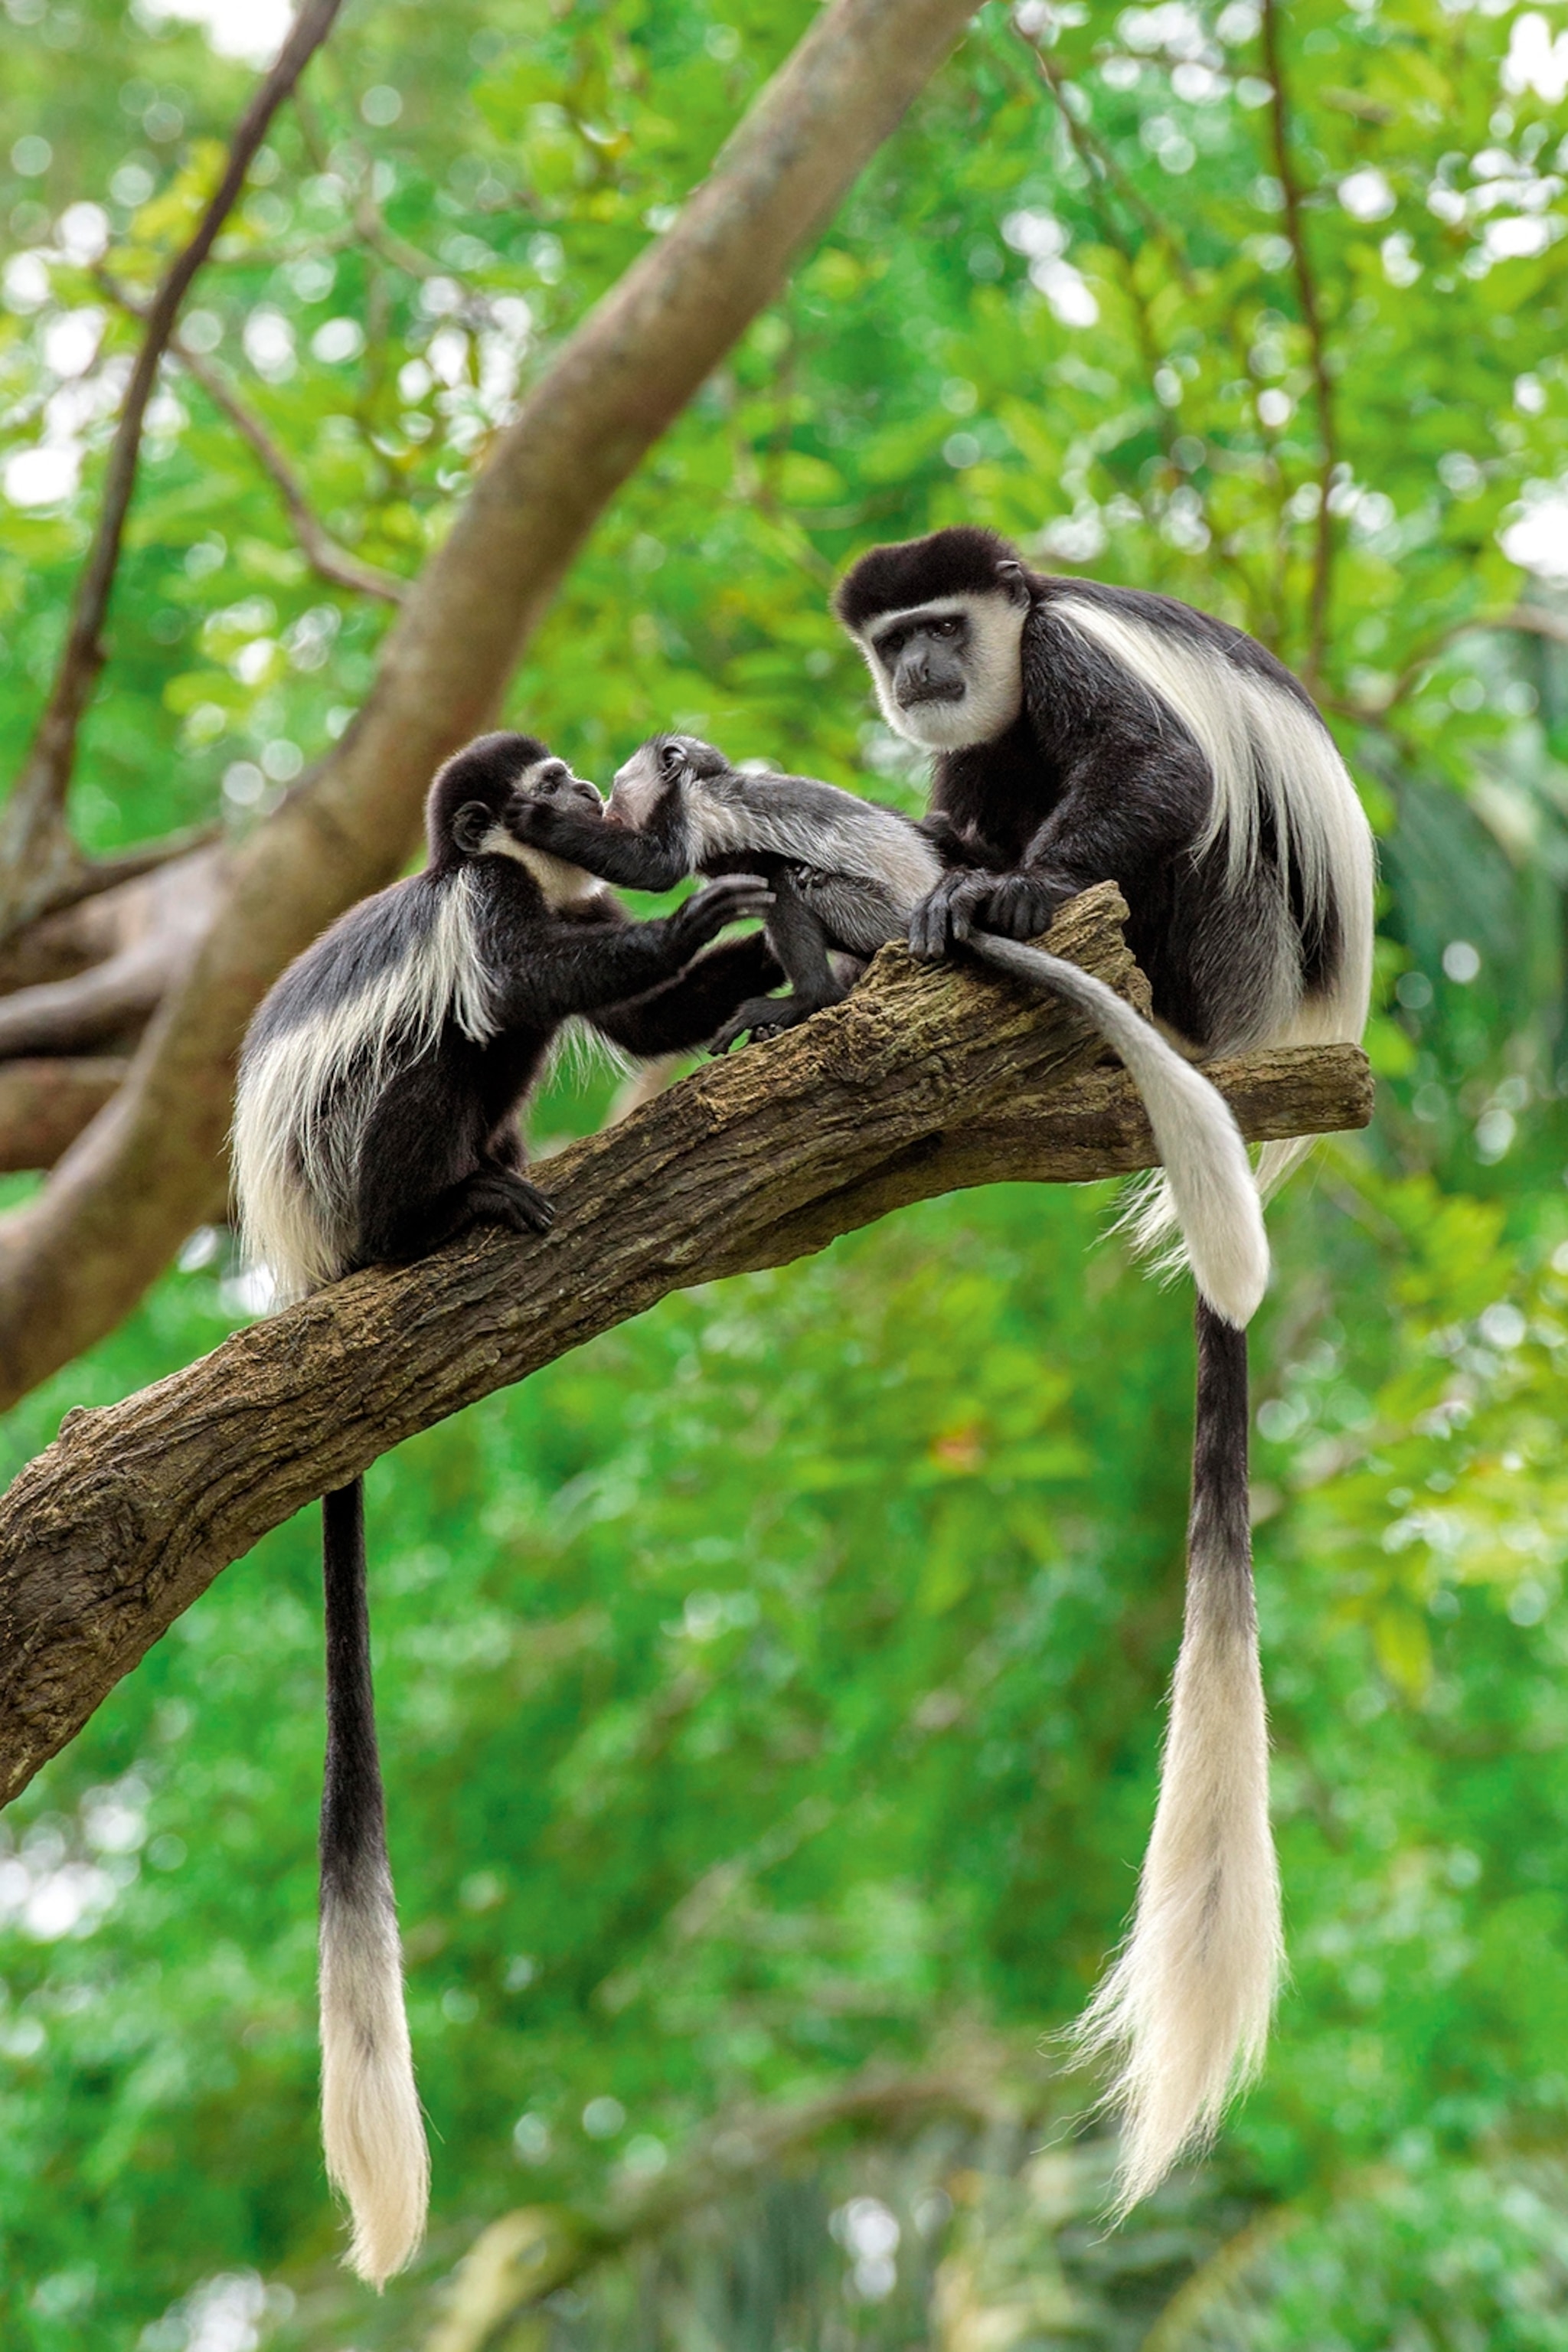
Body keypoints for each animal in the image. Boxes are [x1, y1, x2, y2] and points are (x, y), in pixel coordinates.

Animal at [231, 731, 775, 2286]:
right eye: (539, 788)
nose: (590, 791)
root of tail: (308, 1263)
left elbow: (636, 1015)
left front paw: (756, 956)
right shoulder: (484, 903)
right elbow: (525, 984)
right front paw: (711, 911)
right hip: (360, 1163)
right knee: (451, 1046)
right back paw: (449, 1215)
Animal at [505, 731, 1268, 1332]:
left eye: (615, 789)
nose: (598, 796)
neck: (705, 785)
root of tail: (922, 916)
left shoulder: (698, 812)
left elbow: (657, 865)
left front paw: (537, 821)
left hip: (869, 912)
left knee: (791, 879)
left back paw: (806, 1000)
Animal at [833, 525, 1376, 2213]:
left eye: (944, 626)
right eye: (893, 641)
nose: (921, 674)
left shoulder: (1070, 666)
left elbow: (1160, 771)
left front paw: (1001, 890)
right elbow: (951, 798)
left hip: (1235, 941)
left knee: (1188, 834)